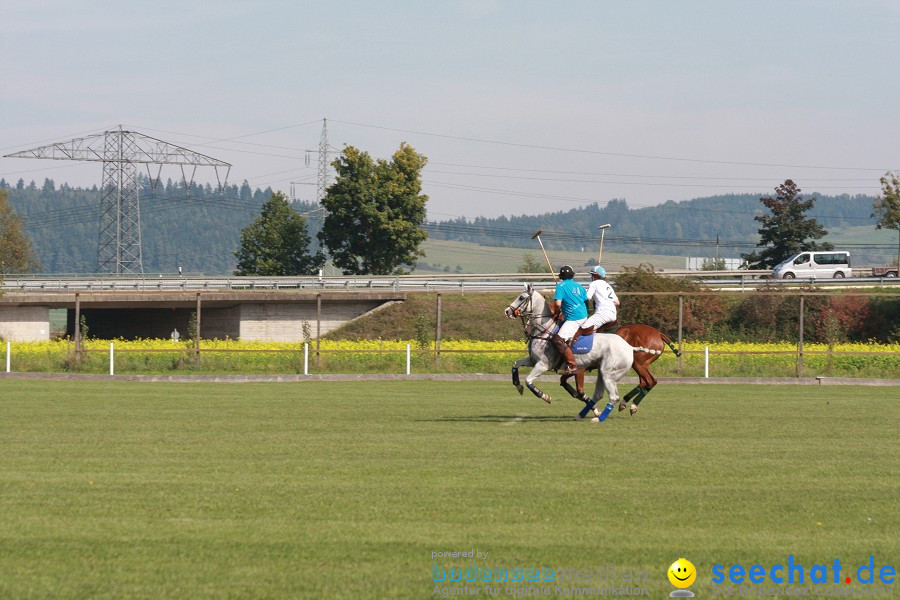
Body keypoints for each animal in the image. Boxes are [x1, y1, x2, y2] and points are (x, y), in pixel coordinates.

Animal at [502, 282, 636, 418]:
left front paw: (545, 396)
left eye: (521, 297)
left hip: (609, 371)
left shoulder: (543, 364)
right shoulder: (533, 360)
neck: (544, 331)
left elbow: (528, 381)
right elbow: (515, 364)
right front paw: (518, 386)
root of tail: (629, 347)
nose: (507, 311)